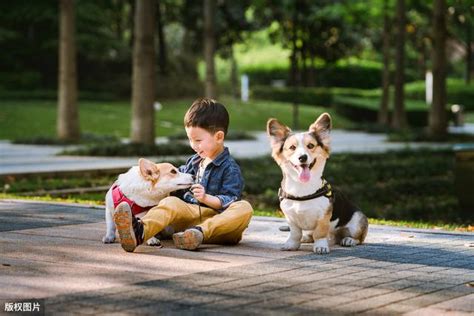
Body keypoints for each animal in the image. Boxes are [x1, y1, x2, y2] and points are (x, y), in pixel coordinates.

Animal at [266, 113, 366, 254]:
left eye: (311, 146)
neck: (302, 189)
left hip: (357, 220)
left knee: (358, 238)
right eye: (292, 148)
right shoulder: (290, 218)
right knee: (309, 235)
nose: (302, 157)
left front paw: (321, 246)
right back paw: (306, 238)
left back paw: (349, 240)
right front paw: (291, 245)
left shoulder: (323, 217)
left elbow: (319, 233)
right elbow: (295, 233)